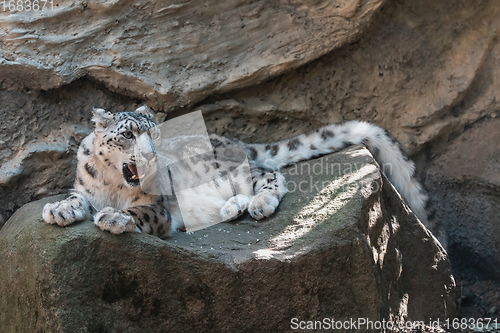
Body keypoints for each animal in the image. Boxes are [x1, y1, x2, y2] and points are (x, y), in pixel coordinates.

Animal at [42, 105, 430, 237]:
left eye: (156, 135)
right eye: (128, 135)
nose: (151, 157)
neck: (113, 184)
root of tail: (235, 140)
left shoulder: (157, 207)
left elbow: (140, 212)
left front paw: (112, 217)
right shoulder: (85, 189)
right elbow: (75, 199)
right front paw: (59, 210)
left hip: (236, 170)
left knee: (271, 176)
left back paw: (259, 204)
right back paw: (232, 208)